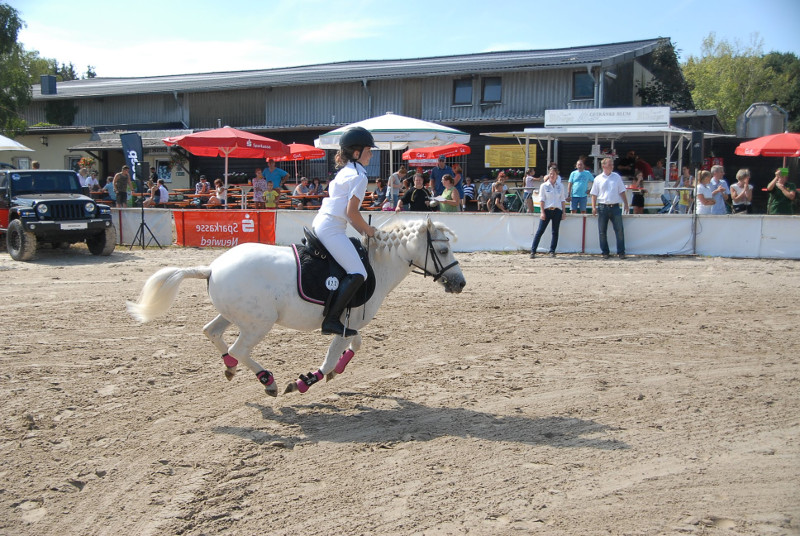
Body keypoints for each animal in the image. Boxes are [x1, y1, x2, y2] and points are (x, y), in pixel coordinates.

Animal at [124, 219, 462, 398]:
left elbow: (355, 344)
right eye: (444, 250)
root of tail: (212, 268)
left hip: (236, 315)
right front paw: (307, 380)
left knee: (213, 333)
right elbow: (336, 352)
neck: (375, 266)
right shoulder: (341, 322)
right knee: (238, 348)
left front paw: (337, 371)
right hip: (259, 323)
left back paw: (230, 367)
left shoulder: (348, 323)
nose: (460, 283)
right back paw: (268, 380)